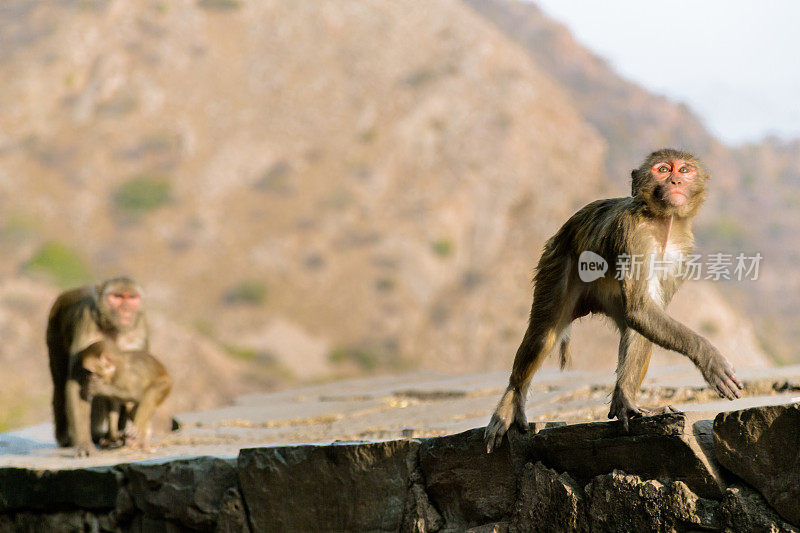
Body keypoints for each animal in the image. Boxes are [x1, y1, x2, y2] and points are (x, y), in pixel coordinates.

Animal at [47, 276, 148, 456]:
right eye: (117, 297)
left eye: (131, 298)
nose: (125, 309)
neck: (114, 328)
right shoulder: (86, 325)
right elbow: (78, 381)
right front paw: (84, 444)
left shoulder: (139, 333)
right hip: (54, 331)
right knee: (59, 384)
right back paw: (66, 437)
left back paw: (111, 435)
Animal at [484, 148, 748, 450]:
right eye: (662, 169)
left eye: (684, 170)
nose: (676, 182)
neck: (663, 223)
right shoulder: (633, 234)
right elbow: (640, 310)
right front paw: (709, 358)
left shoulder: (683, 250)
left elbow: (643, 313)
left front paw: (626, 402)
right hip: (556, 262)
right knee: (542, 337)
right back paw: (511, 401)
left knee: (638, 325)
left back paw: (624, 398)